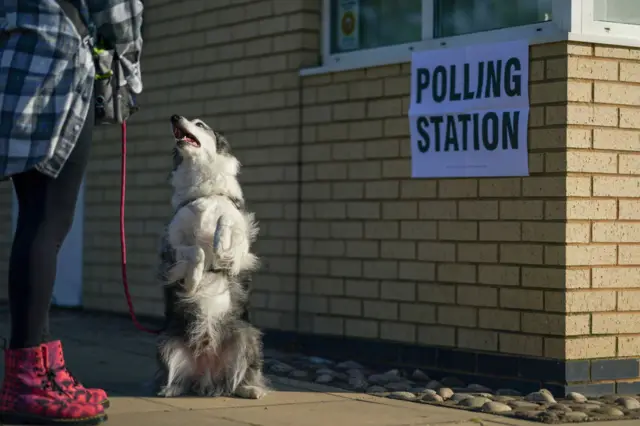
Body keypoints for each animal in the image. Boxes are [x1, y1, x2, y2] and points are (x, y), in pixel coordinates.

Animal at [156, 114, 268, 400]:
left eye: (200, 124)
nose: (174, 116)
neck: (202, 190)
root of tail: (208, 376)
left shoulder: (243, 240)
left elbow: (226, 223)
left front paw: (220, 249)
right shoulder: (170, 247)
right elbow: (194, 251)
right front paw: (193, 281)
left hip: (248, 337)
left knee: (242, 375)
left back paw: (249, 389)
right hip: (166, 342)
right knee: (179, 375)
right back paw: (170, 389)